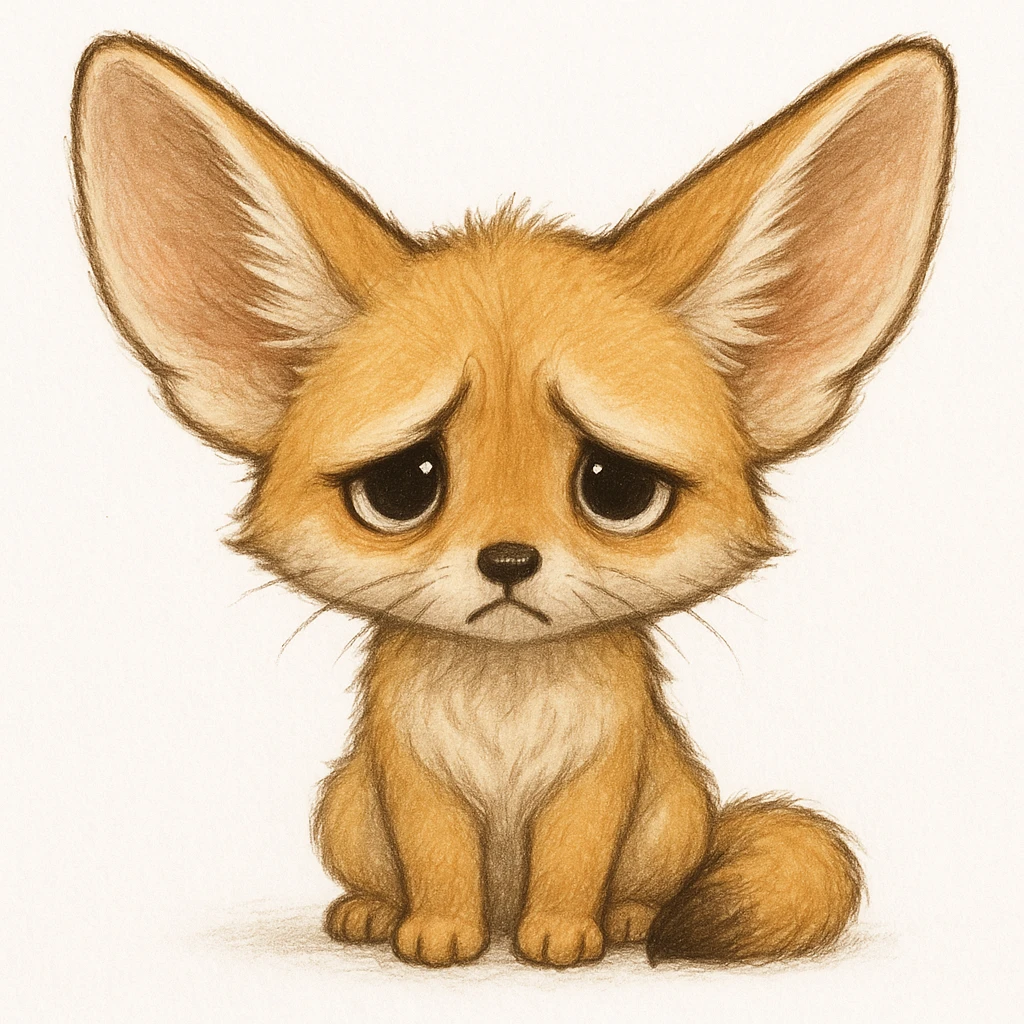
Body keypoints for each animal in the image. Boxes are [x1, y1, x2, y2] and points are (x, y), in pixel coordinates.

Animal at [71, 34, 954, 968]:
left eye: (618, 489)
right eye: (400, 488)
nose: (507, 560)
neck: (506, 707)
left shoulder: (600, 778)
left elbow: (572, 857)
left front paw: (564, 933)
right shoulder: (412, 778)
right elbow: (439, 857)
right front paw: (439, 932)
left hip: (670, 812)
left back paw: (628, 916)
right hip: (347, 809)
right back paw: (372, 912)